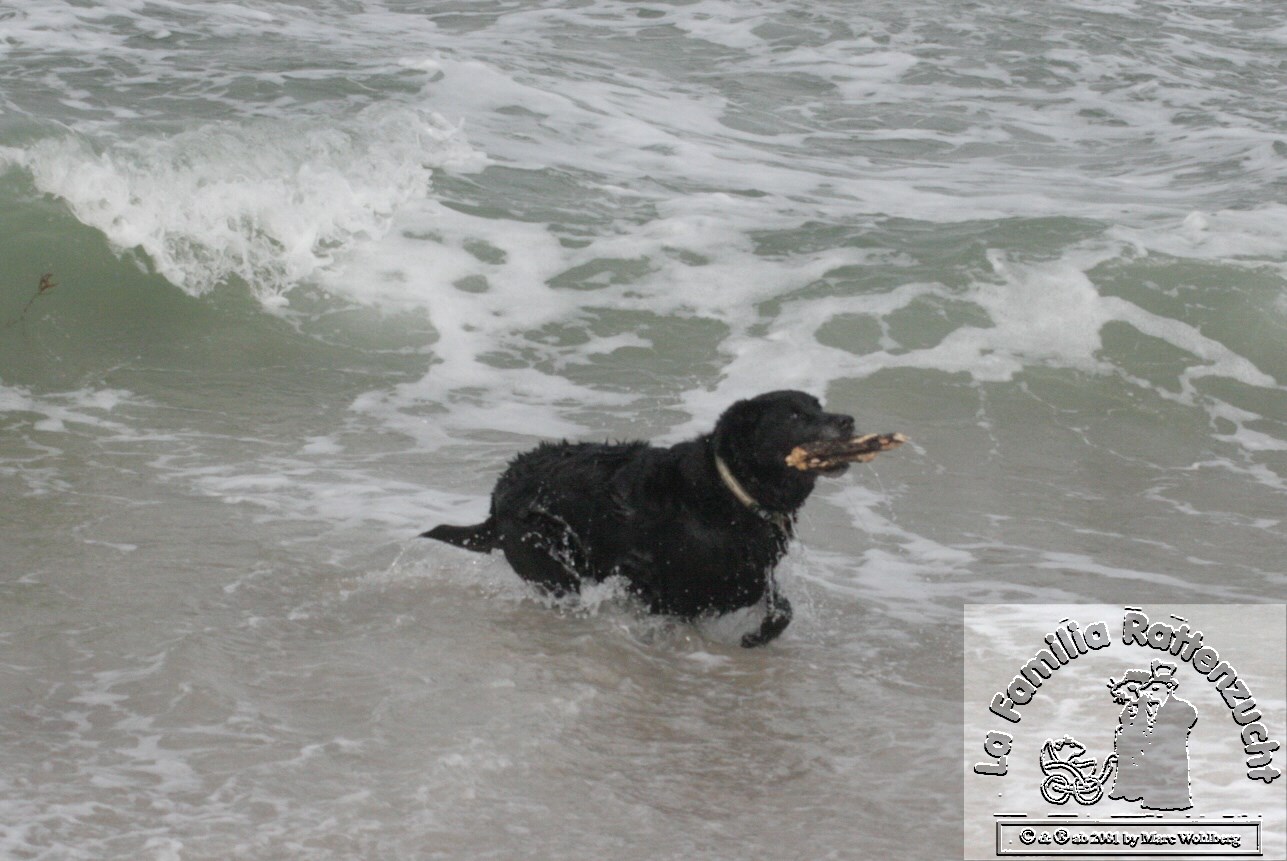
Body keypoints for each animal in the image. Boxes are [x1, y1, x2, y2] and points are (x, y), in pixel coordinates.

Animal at [424, 388, 854, 643]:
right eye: (795, 416)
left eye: (819, 407)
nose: (847, 420)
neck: (730, 492)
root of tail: (497, 496)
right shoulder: (653, 579)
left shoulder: (752, 569)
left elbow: (779, 606)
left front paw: (757, 634)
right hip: (549, 560)